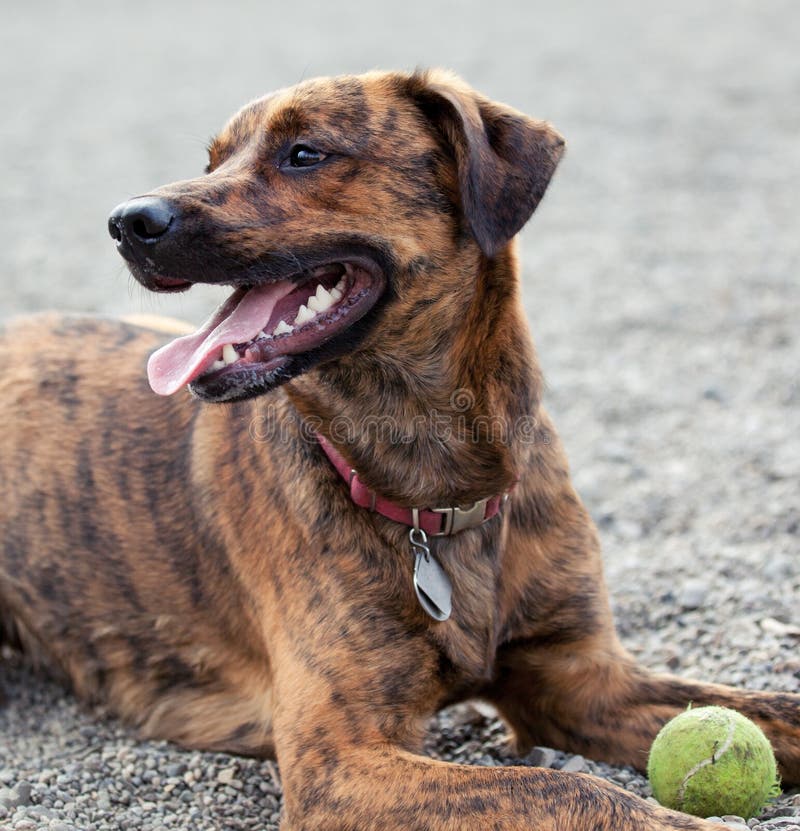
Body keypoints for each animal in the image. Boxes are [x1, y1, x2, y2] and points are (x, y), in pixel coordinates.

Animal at [0, 71, 796, 831]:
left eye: (304, 154)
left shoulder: (582, 681)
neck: (436, 484)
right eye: (214, 160)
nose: (126, 222)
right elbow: (566, 789)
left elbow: (773, 709)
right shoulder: (339, 759)